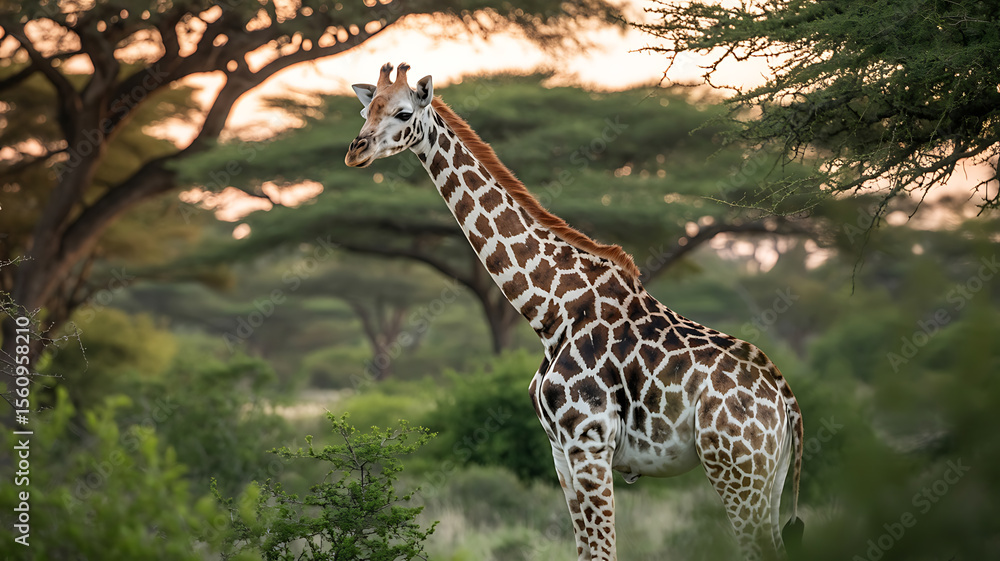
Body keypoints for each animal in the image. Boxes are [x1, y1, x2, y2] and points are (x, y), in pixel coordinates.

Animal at [345, 63, 805, 561]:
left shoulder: (589, 443)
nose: (355, 151)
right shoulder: (560, 452)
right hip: (769, 476)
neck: (552, 310)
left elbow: (604, 552)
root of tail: (785, 398)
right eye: (365, 110)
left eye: (403, 112)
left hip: (736, 468)